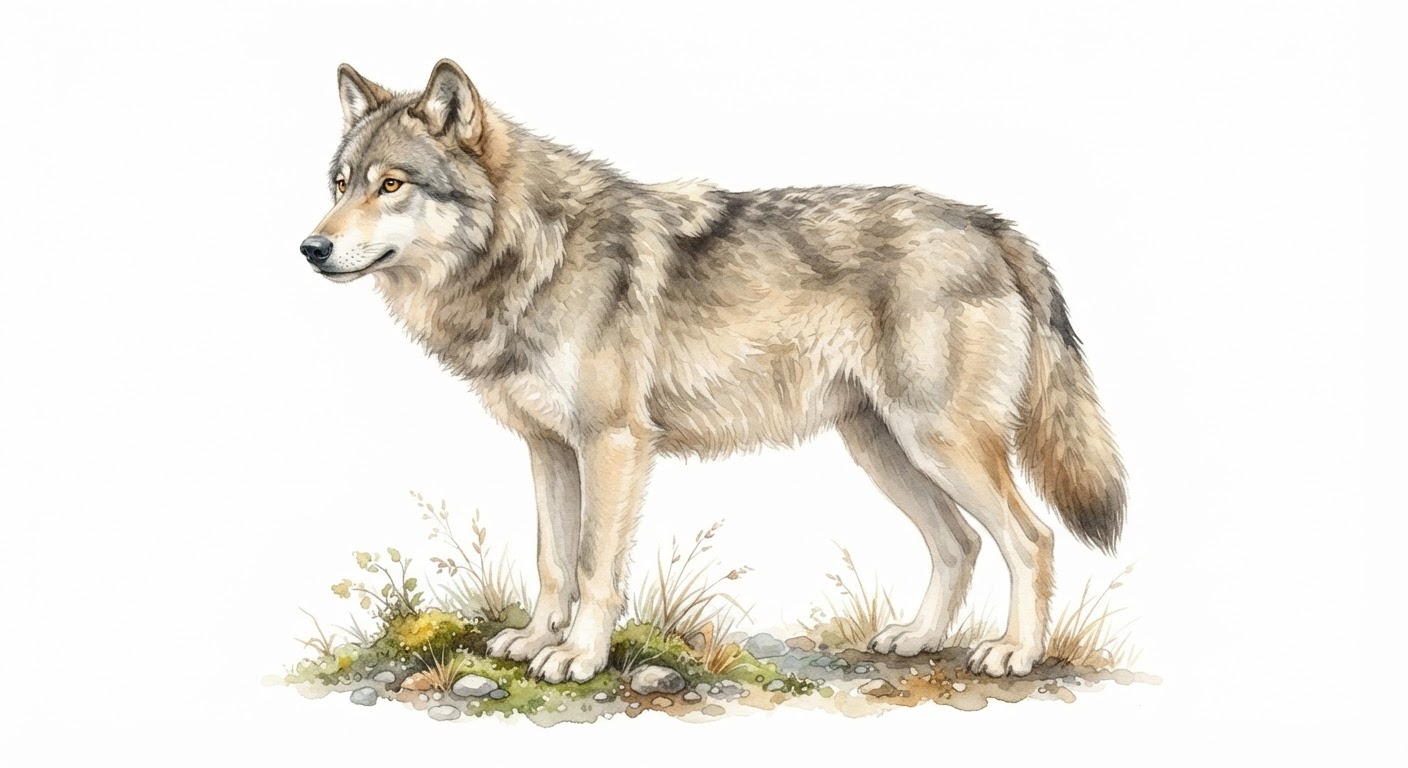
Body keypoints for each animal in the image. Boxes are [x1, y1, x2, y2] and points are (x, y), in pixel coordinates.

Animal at [301, 59, 1126, 683]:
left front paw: (578, 657)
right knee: (959, 545)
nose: (311, 248)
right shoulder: (549, 449)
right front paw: (537, 641)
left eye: (392, 185)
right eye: (339, 184)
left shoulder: (613, 444)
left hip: (938, 443)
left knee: (1031, 539)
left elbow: (594, 567)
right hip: (885, 450)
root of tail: (993, 225)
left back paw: (1015, 651)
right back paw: (918, 639)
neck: (532, 252)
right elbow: (551, 563)